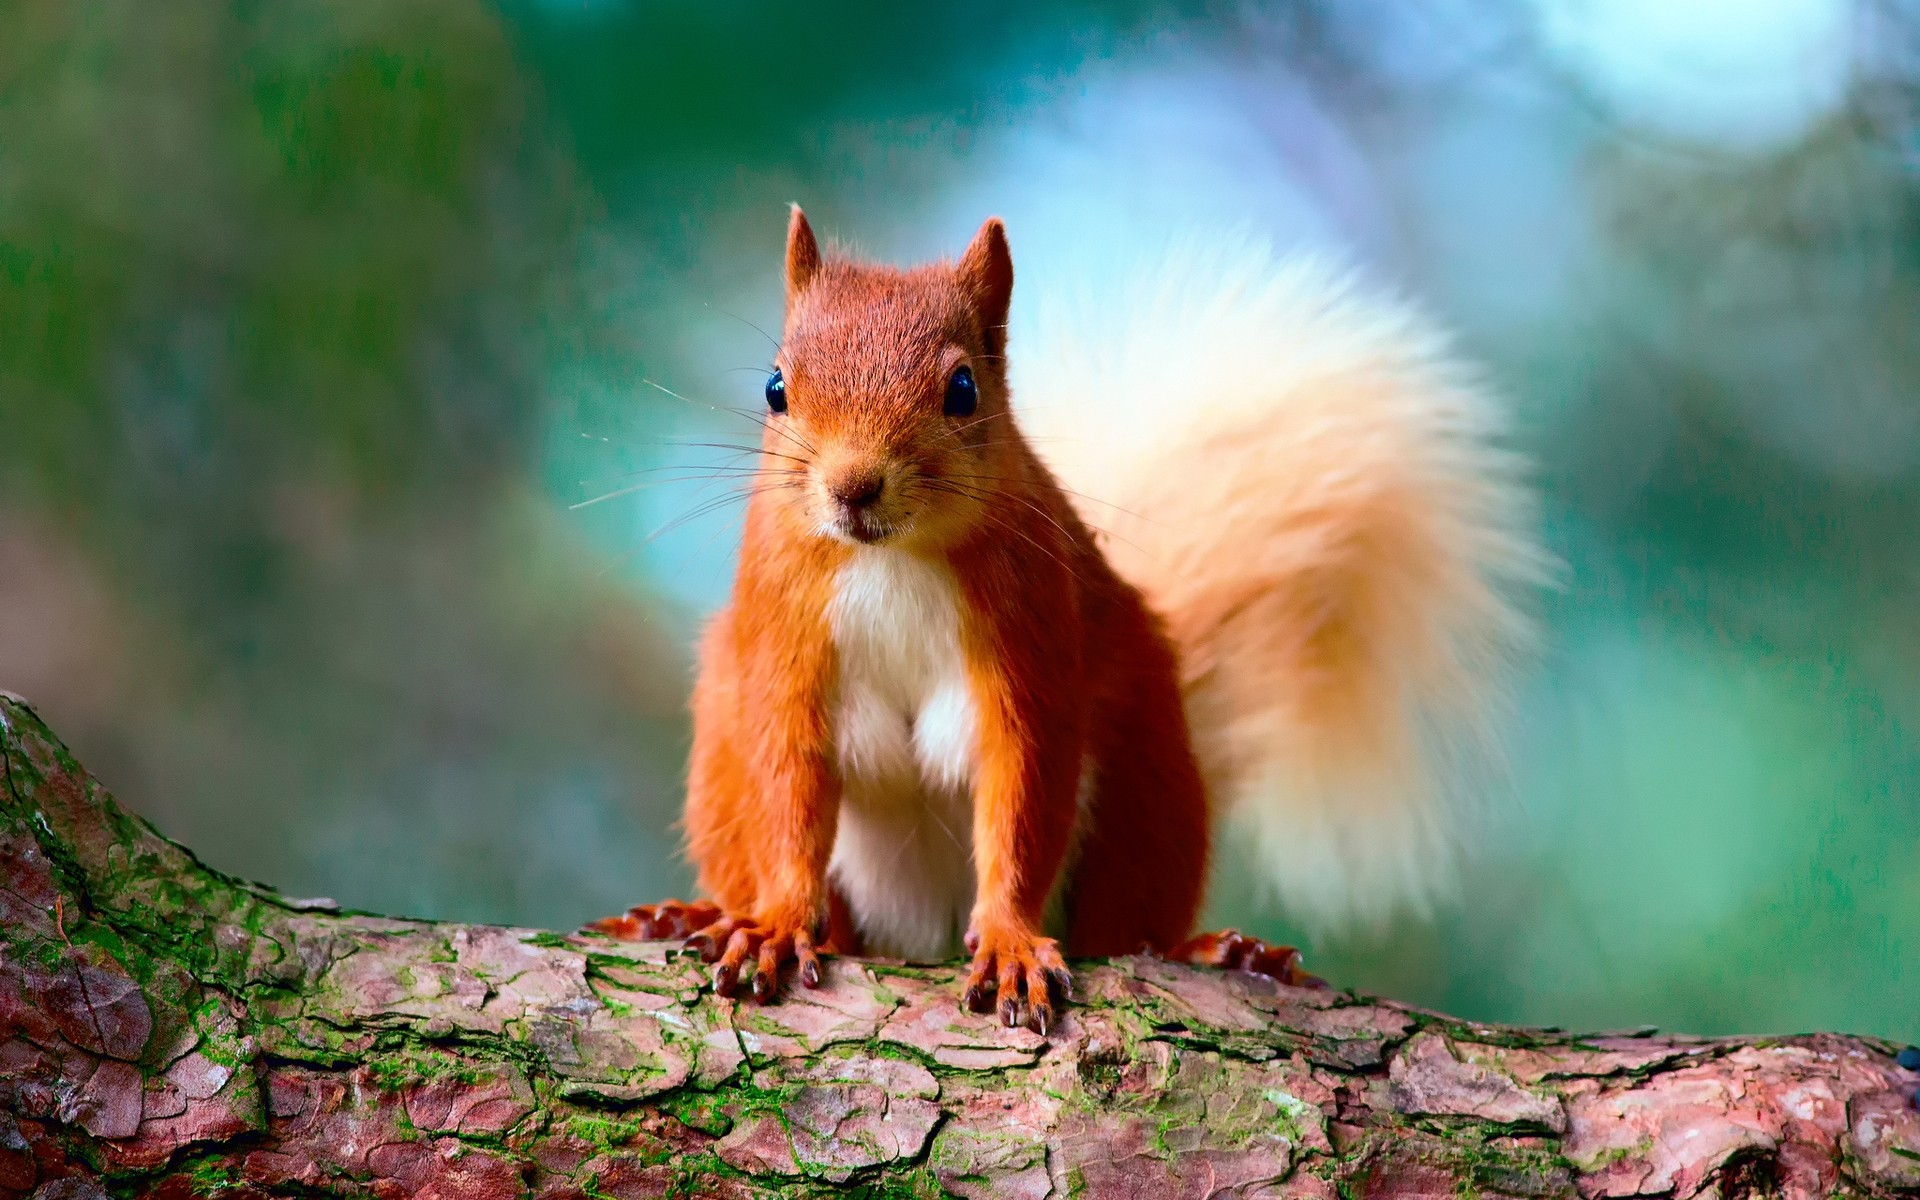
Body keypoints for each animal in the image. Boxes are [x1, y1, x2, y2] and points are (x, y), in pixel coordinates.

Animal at [591, 205, 1536, 1029]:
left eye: (963, 388)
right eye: (775, 386)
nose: (853, 487)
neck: (890, 556)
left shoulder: (1033, 639)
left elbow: (1022, 795)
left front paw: (1011, 940)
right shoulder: (784, 637)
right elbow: (790, 786)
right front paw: (780, 923)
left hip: (1149, 779)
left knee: (1124, 926)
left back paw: (1216, 952)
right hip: (720, 741)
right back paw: (685, 916)